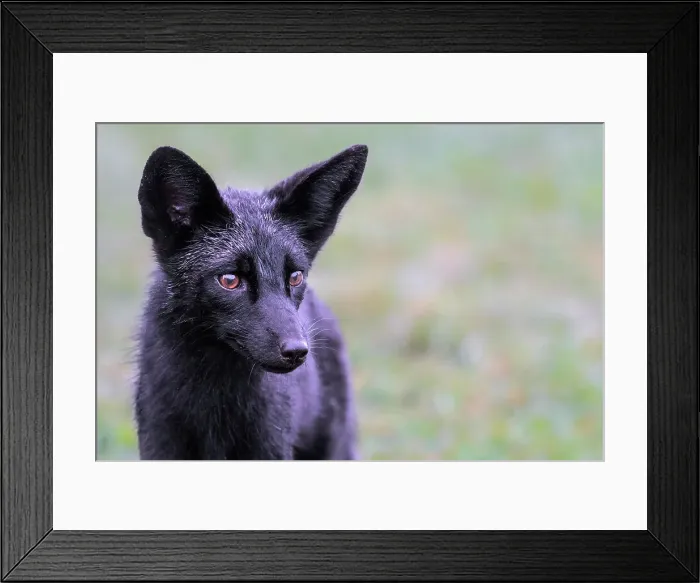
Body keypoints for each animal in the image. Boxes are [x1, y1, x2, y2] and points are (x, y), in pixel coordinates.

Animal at [132, 143, 368, 460]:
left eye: (295, 276)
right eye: (230, 280)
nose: (297, 351)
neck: (214, 401)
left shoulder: (270, 447)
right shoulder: (160, 444)